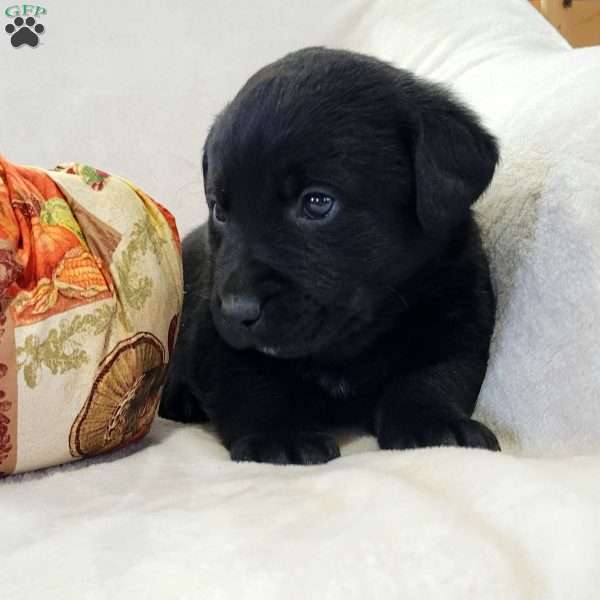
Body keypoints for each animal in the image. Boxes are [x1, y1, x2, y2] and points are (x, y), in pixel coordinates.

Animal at [161, 49, 502, 466]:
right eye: (219, 211)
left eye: (318, 202)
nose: (238, 310)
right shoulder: (216, 340)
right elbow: (251, 386)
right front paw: (280, 435)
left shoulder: (460, 317)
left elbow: (433, 377)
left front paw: (435, 424)